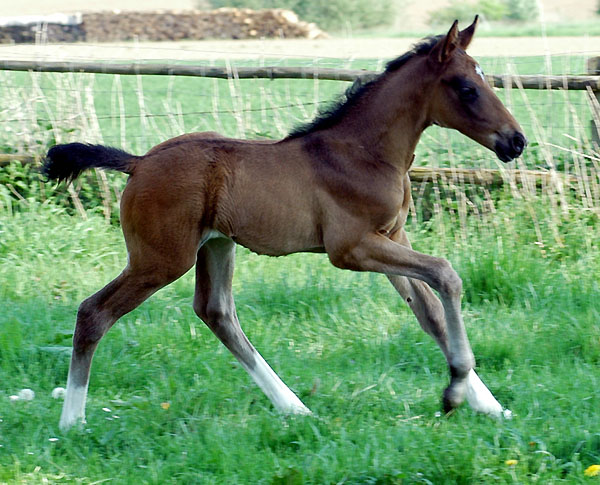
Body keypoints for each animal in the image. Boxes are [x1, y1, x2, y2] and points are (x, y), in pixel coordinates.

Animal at [44, 17, 528, 430]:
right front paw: (454, 392)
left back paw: (294, 407)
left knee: (216, 312)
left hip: (216, 245)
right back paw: (71, 422)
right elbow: (446, 275)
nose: (516, 141)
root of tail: (140, 162)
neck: (364, 152)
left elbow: (430, 313)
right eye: (466, 87)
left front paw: (488, 405)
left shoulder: (392, 236)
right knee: (94, 312)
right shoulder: (352, 248)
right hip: (160, 259)